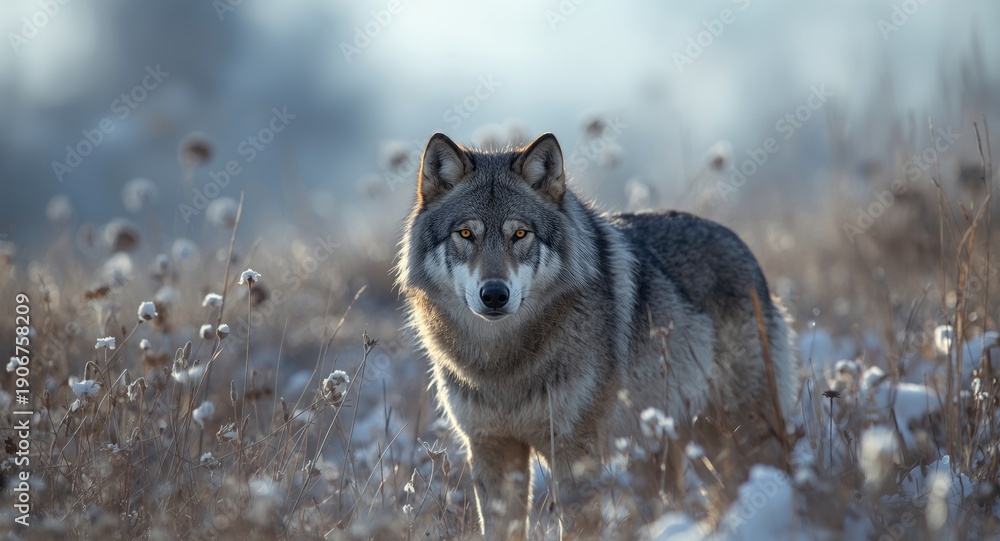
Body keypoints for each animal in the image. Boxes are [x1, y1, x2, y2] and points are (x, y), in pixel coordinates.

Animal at [396, 132, 799, 538]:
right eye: (466, 234)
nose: (494, 294)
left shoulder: (574, 452)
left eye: (520, 234)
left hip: (737, 437)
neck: (503, 362)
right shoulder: (491, 447)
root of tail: (743, 247)